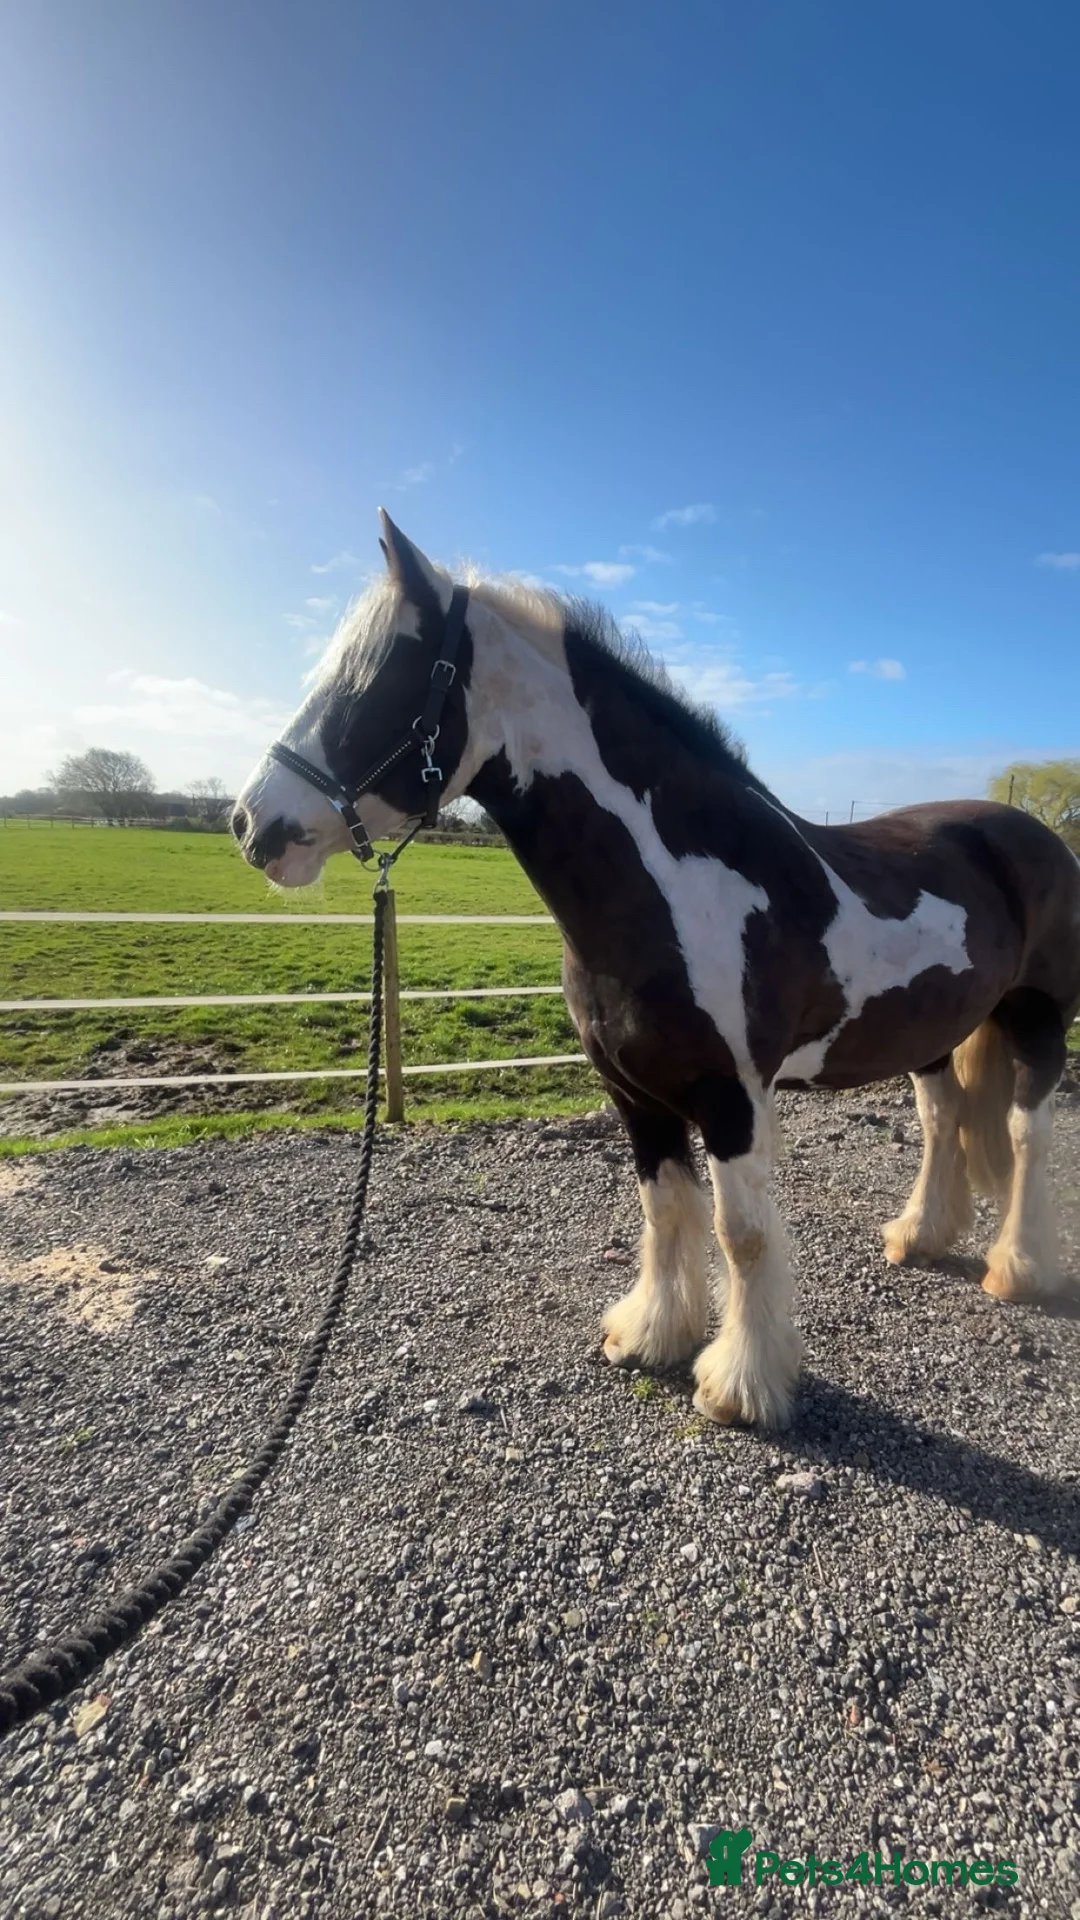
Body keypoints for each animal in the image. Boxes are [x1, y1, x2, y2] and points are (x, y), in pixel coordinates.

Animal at [232, 510, 1080, 1430]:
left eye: (379, 679)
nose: (251, 824)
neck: (678, 883)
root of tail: (1030, 833)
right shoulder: (634, 1093)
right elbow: (665, 1208)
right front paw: (651, 1336)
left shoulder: (731, 1098)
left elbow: (741, 1234)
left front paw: (740, 1385)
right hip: (931, 1034)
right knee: (943, 1117)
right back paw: (919, 1236)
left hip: (1039, 1019)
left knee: (1028, 1133)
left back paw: (1017, 1270)